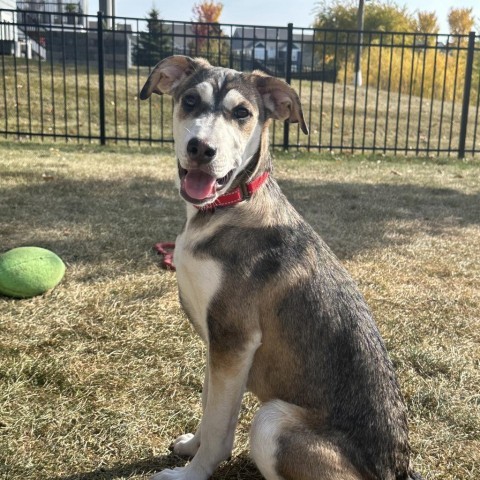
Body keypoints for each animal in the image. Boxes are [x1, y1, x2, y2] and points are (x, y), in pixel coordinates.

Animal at [140, 55, 424, 480]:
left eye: (242, 113)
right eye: (190, 101)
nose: (201, 148)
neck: (229, 208)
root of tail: (396, 471)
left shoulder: (234, 337)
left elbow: (219, 427)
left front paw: (191, 473)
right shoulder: (217, 342)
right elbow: (209, 403)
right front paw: (191, 445)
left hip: (272, 420)